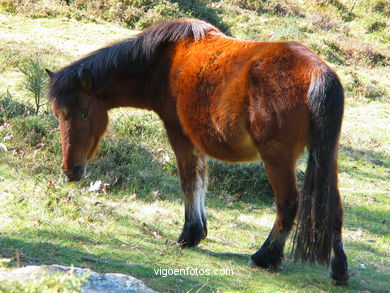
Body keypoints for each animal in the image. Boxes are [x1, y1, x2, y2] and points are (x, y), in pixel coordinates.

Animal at [47, 17, 348, 282]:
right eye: (58, 114)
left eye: (84, 113)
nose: (71, 170)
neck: (161, 61)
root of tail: (318, 72)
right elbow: (201, 182)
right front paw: (198, 232)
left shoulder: (179, 135)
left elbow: (189, 182)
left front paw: (188, 235)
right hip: (327, 155)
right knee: (334, 206)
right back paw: (339, 270)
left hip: (277, 158)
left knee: (288, 204)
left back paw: (264, 256)